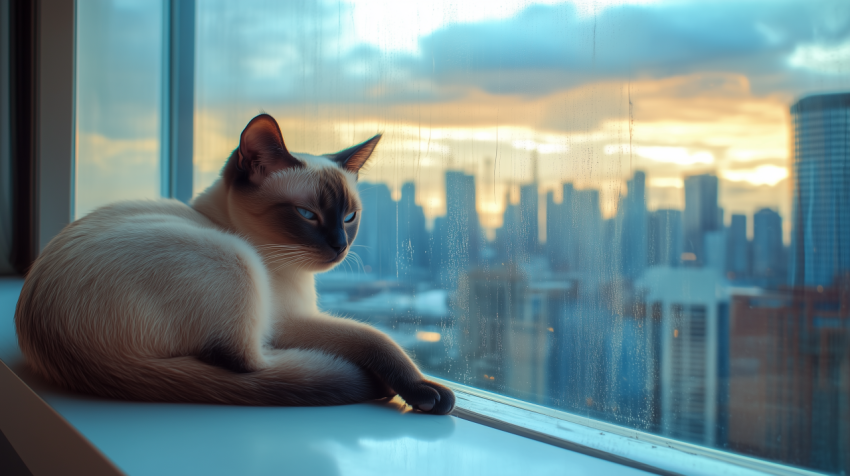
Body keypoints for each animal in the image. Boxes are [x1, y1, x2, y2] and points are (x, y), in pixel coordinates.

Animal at [14, 113, 450, 414]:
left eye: (349, 217)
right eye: (307, 215)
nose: (340, 247)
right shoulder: (287, 321)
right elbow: (377, 337)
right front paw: (424, 390)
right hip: (236, 261)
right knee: (250, 364)